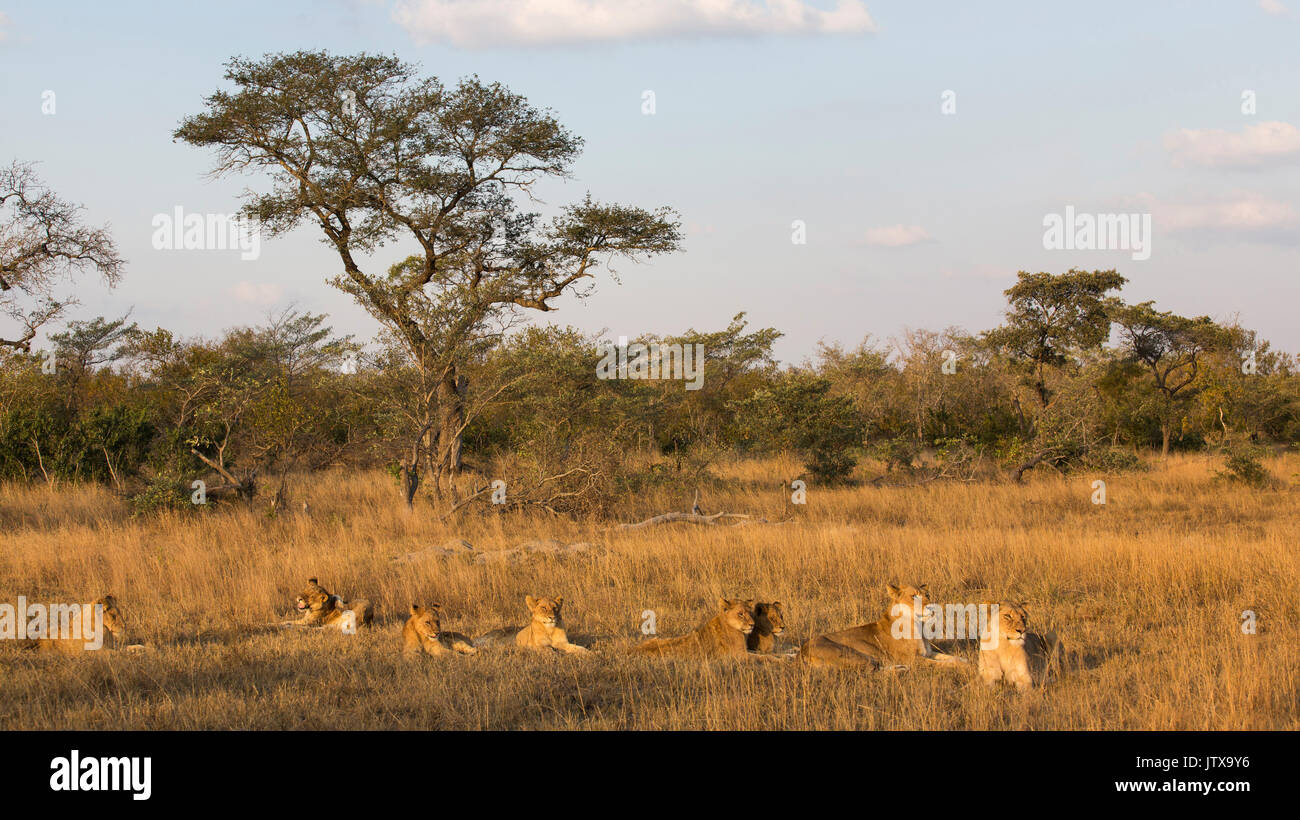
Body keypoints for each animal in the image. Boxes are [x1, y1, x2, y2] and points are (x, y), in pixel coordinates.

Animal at [799, 584, 965, 669]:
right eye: (913, 596)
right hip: (858, 655)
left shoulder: (927, 653)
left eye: (927, 595)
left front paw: (964, 660)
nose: (932, 606)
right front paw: (963, 666)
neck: (918, 625)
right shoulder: (912, 659)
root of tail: (802, 649)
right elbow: (943, 664)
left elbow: (951, 657)